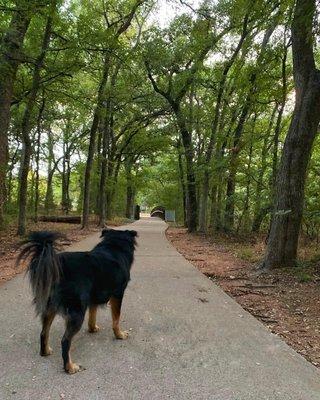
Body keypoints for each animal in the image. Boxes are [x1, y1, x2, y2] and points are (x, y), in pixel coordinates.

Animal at [18, 230, 137, 374]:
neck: (113, 247)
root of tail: (58, 265)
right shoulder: (118, 294)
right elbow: (116, 319)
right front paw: (119, 335)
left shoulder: (93, 298)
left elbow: (92, 315)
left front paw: (92, 328)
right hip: (77, 311)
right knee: (65, 341)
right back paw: (70, 367)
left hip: (50, 307)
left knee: (43, 333)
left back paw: (45, 352)